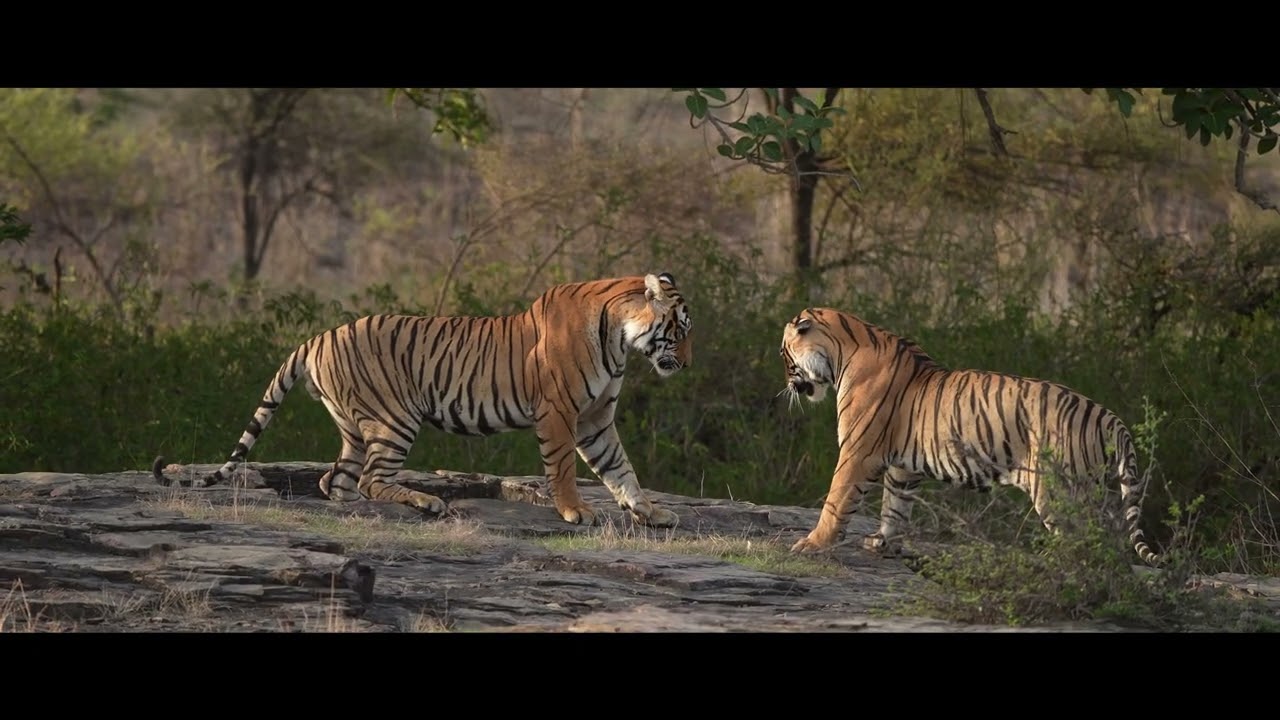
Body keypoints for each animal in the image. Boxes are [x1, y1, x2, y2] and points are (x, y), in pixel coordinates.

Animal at [153, 272, 692, 529]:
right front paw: (575, 511)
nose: (686, 365)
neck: (620, 339)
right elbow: (563, 468)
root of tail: (317, 337)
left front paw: (650, 513)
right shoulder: (561, 413)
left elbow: (622, 469)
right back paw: (426, 501)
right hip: (395, 419)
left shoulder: (595, 419)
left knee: (338, 480)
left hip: (357, 426)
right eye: (680, 330)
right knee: (370, 480)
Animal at [778, 306, 1161, 567]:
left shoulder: (857, 453)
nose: (789, 386)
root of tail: (1108, 415)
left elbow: (836, 500)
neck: (843, 351)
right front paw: (883, 544)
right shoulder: (903, 468)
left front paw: (812, 544)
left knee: (1085, 542)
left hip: (1057, 489)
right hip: (1095, 491)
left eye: (784, 355)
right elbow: (895, 507)